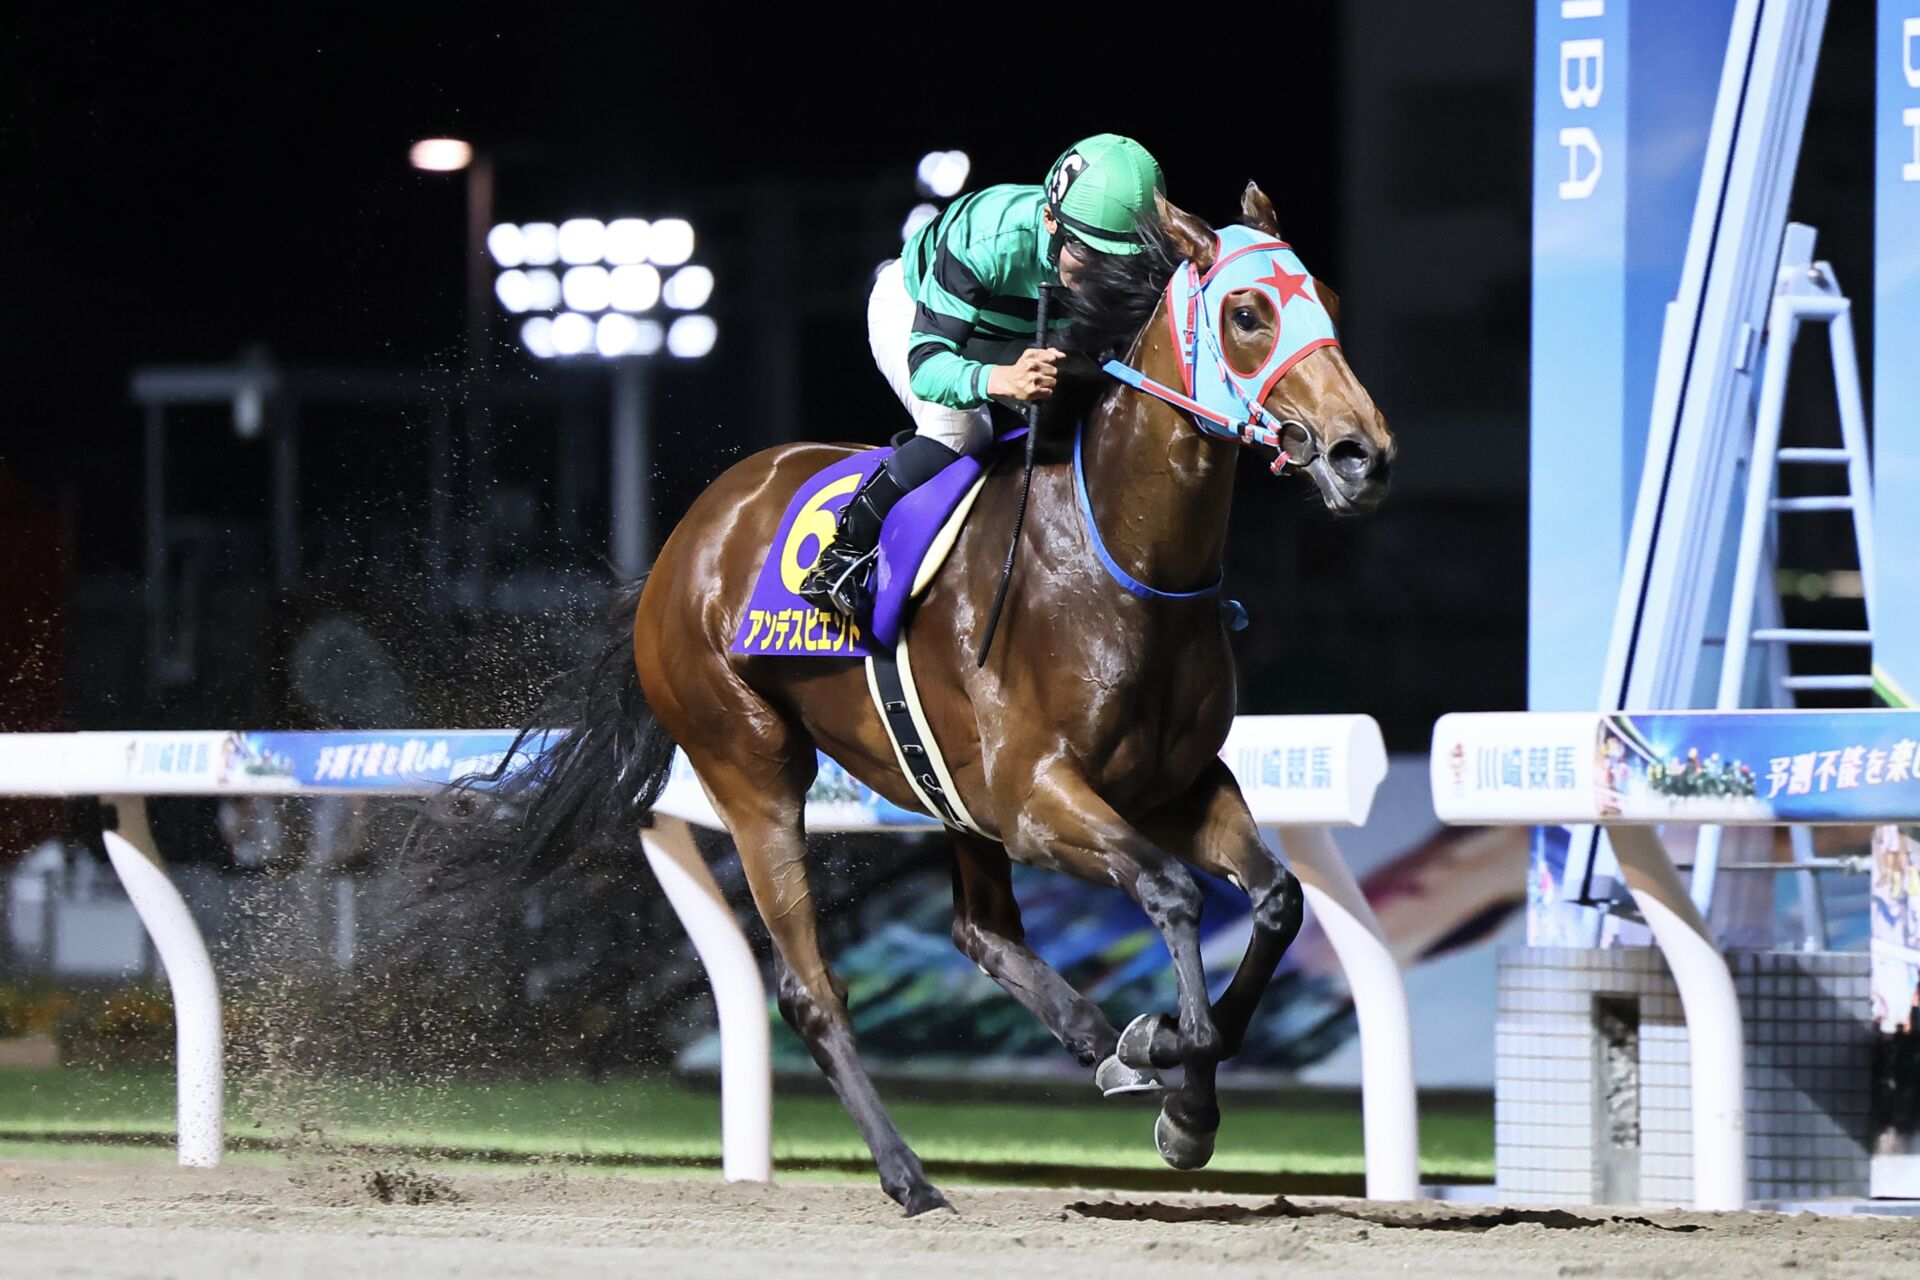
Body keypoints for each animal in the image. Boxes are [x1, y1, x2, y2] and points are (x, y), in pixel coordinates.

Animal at [441, 185, 1390, 1220]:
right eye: (1247, 314)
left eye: (1332, 299)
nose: (1362, 455)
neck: (1117, 564)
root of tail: (682, 543)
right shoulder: (1036, 799)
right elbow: (1174, 892)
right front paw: (1171, 1057)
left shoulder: (1175, 786)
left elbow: (1277, 901)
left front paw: (1183, 1097)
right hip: (751, 765)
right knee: (812, 989)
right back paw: (913, 1174)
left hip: (950, 791)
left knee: (982, 932)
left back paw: (1094, 1041)